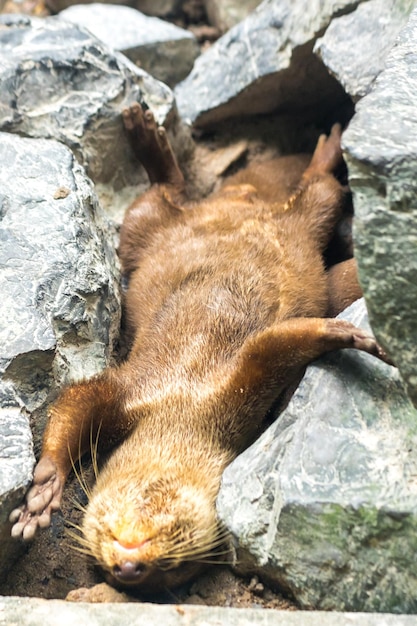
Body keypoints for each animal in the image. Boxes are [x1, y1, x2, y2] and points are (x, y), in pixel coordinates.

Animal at [9, 102, 388, 588]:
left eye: (173, 566)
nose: (128, 568)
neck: (184, 404)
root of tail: (246, 199)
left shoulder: (237, 386)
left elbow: (274, 344)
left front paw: (346, 333)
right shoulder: (132, 388)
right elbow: (75, 402)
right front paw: (43, 492)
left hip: (295, 220)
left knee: (321, 190)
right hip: (149, 230)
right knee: (166, 196)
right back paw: (148, 133)